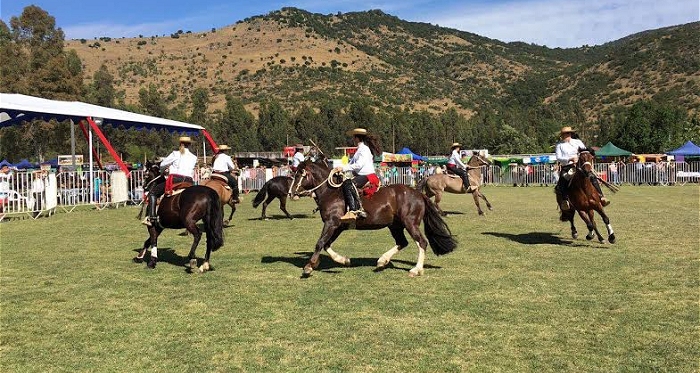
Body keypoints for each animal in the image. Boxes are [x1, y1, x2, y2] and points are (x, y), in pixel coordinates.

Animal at [292, 158, 460, 278]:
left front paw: (309, 266)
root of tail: (418, 194)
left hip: (410, 223)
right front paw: (343, 260)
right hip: (395, 225)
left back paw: (416, 269)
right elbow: (326, 244)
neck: (332, 193)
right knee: (402, 242)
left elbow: (320, 243)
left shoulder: (331, 223)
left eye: (300, 174)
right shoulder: (337, 226)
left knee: (422, 242)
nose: (291, 192)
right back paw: (382, 261)